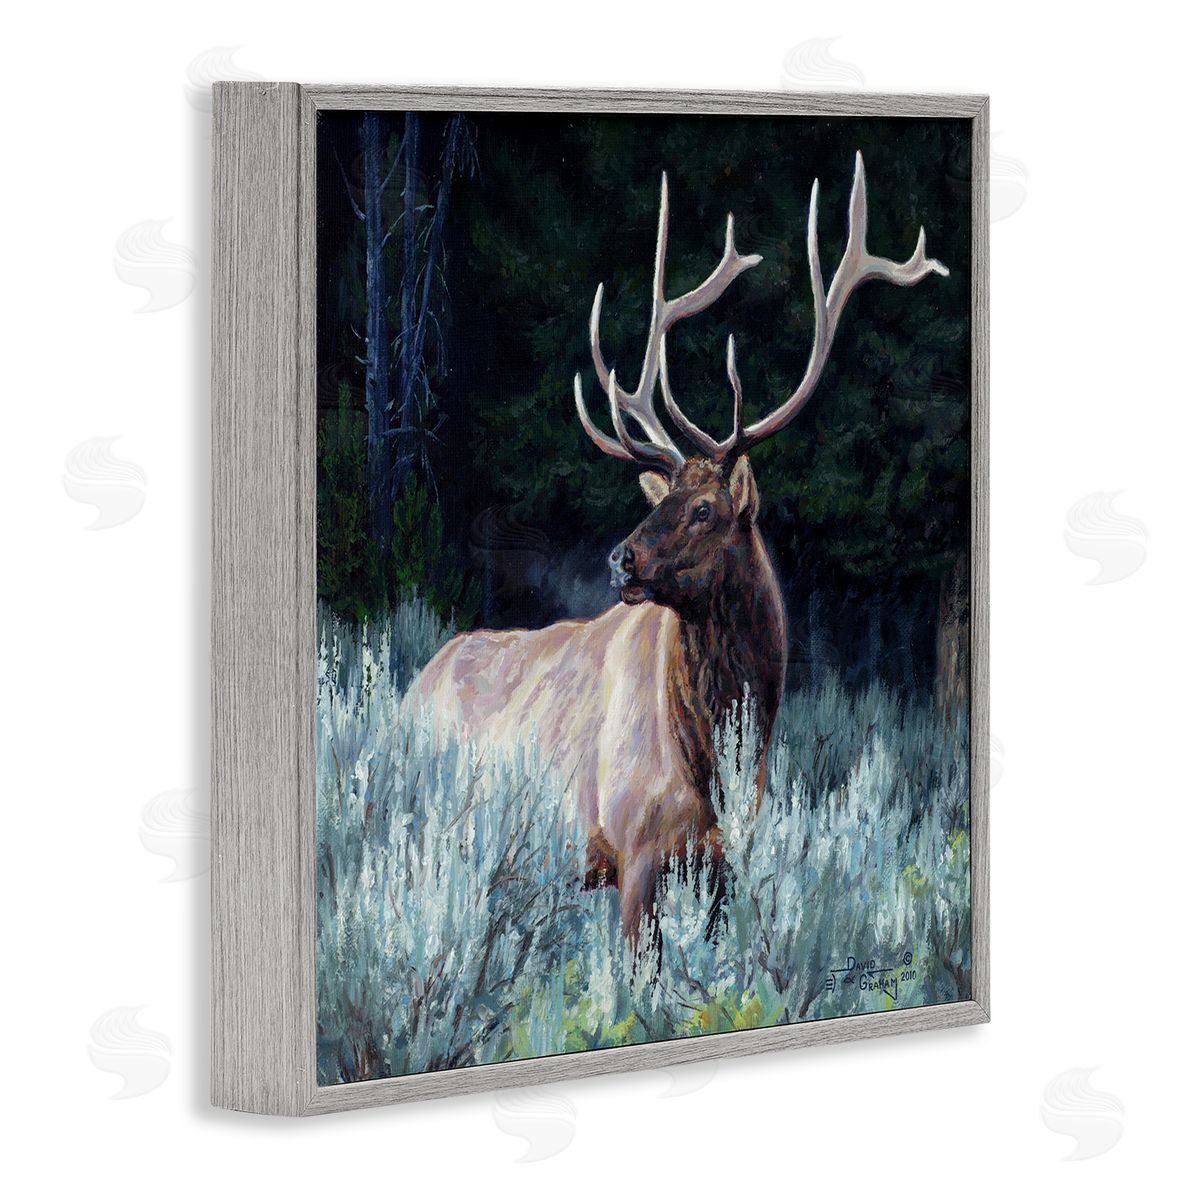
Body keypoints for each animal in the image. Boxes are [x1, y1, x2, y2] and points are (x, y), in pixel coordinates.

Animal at [405, 153, 947, 941]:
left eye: (703, 509)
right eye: (662, 503)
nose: (619, 558)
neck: (721, 763)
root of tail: (409, 689)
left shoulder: (723, 864)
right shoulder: (634, 851)